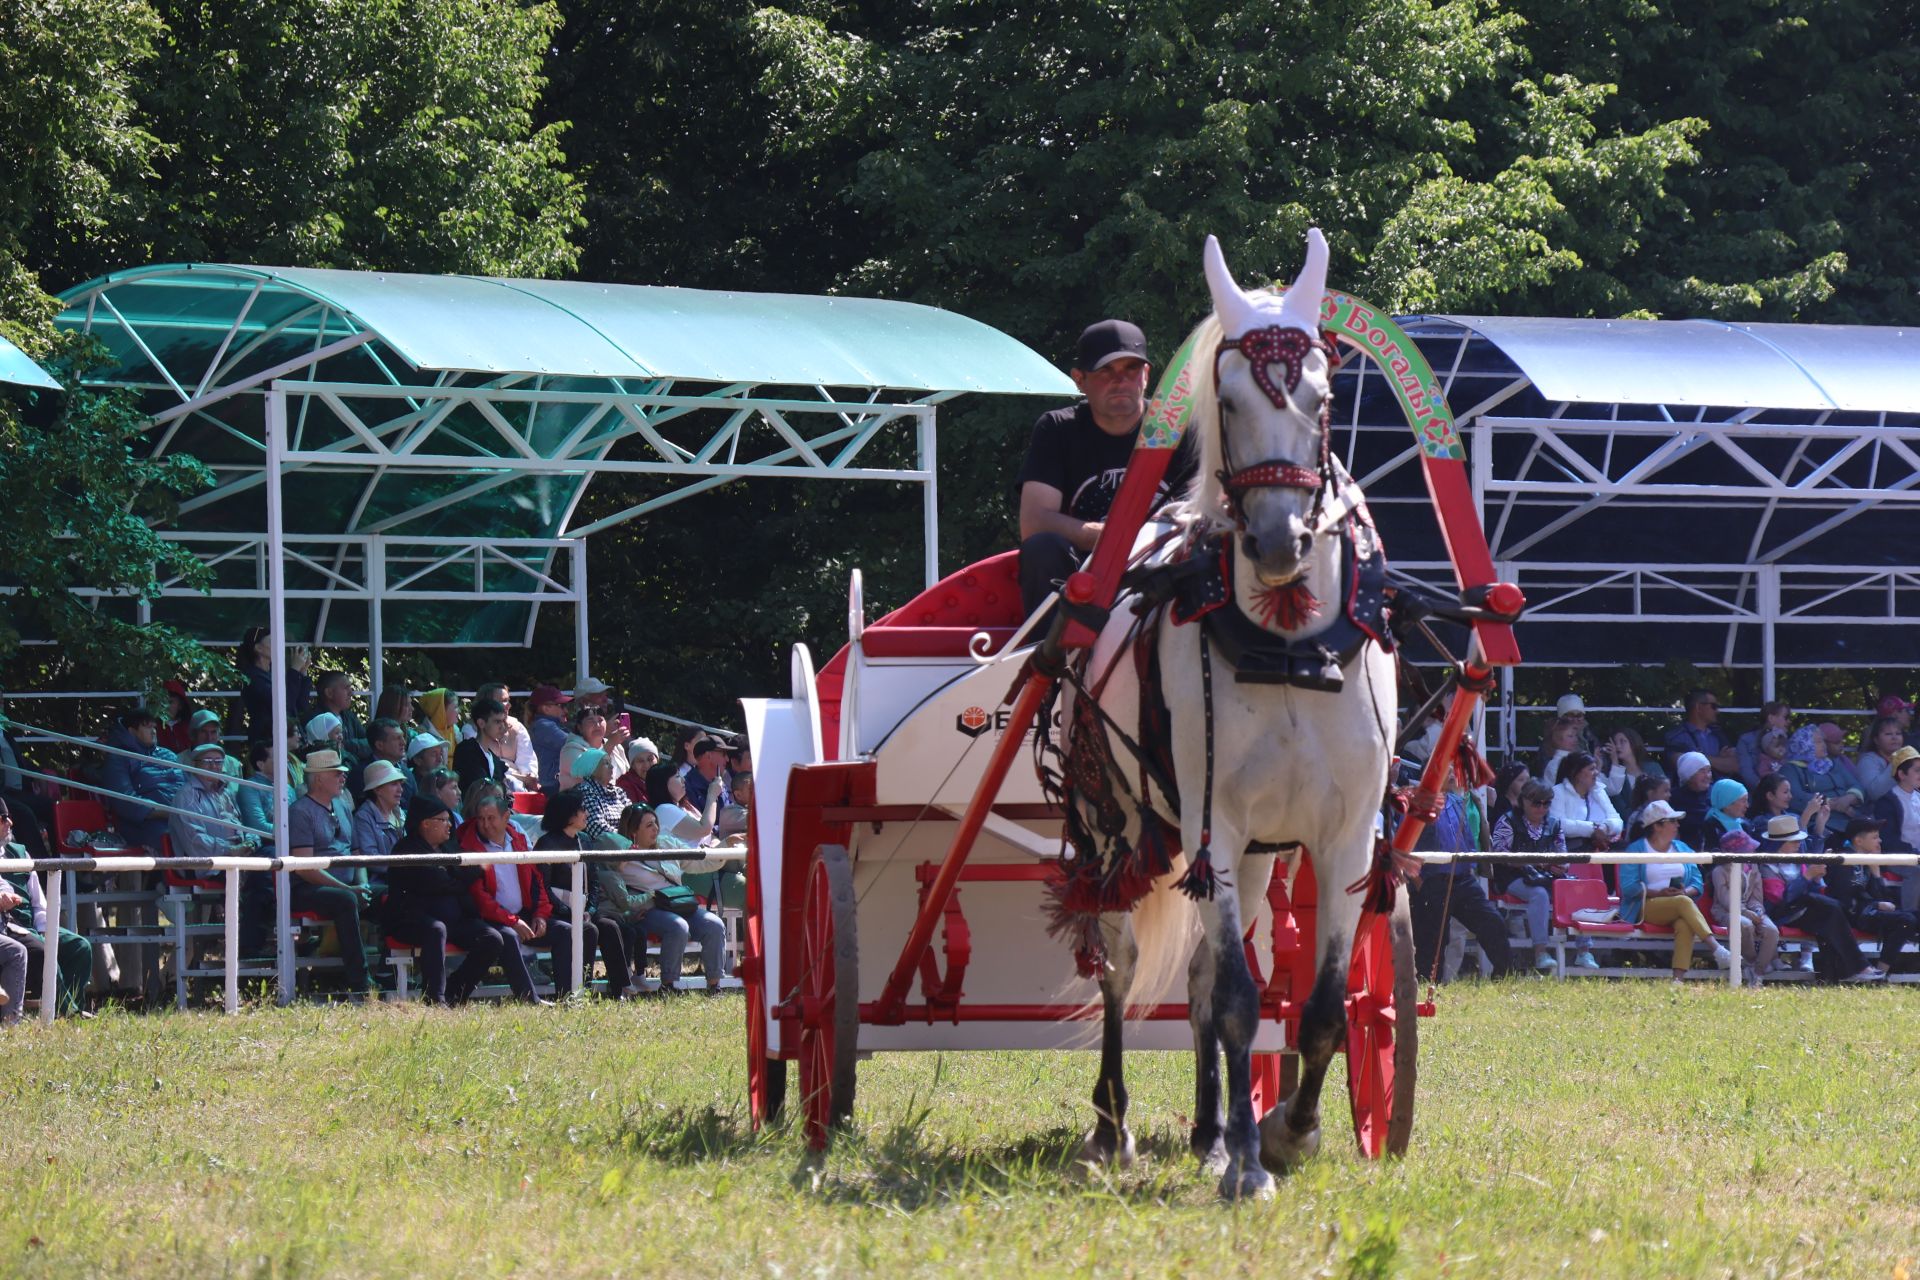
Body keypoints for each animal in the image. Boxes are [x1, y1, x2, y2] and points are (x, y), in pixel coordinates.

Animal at [1067, 227, 1397, 1205]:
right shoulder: (1212, 821)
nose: (1281, 544)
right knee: (1122, 967)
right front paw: (1252, 1167)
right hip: (1117, 829)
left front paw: (1286, 1131)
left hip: (1252, 856)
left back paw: (1213, 1130)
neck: (1287, 647)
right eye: (1229, 399)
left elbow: (1318, 1006)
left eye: (1323, 395)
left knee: (1207, 978)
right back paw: (1113, 1127)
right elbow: (1247, 1002)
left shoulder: (1345, 838)